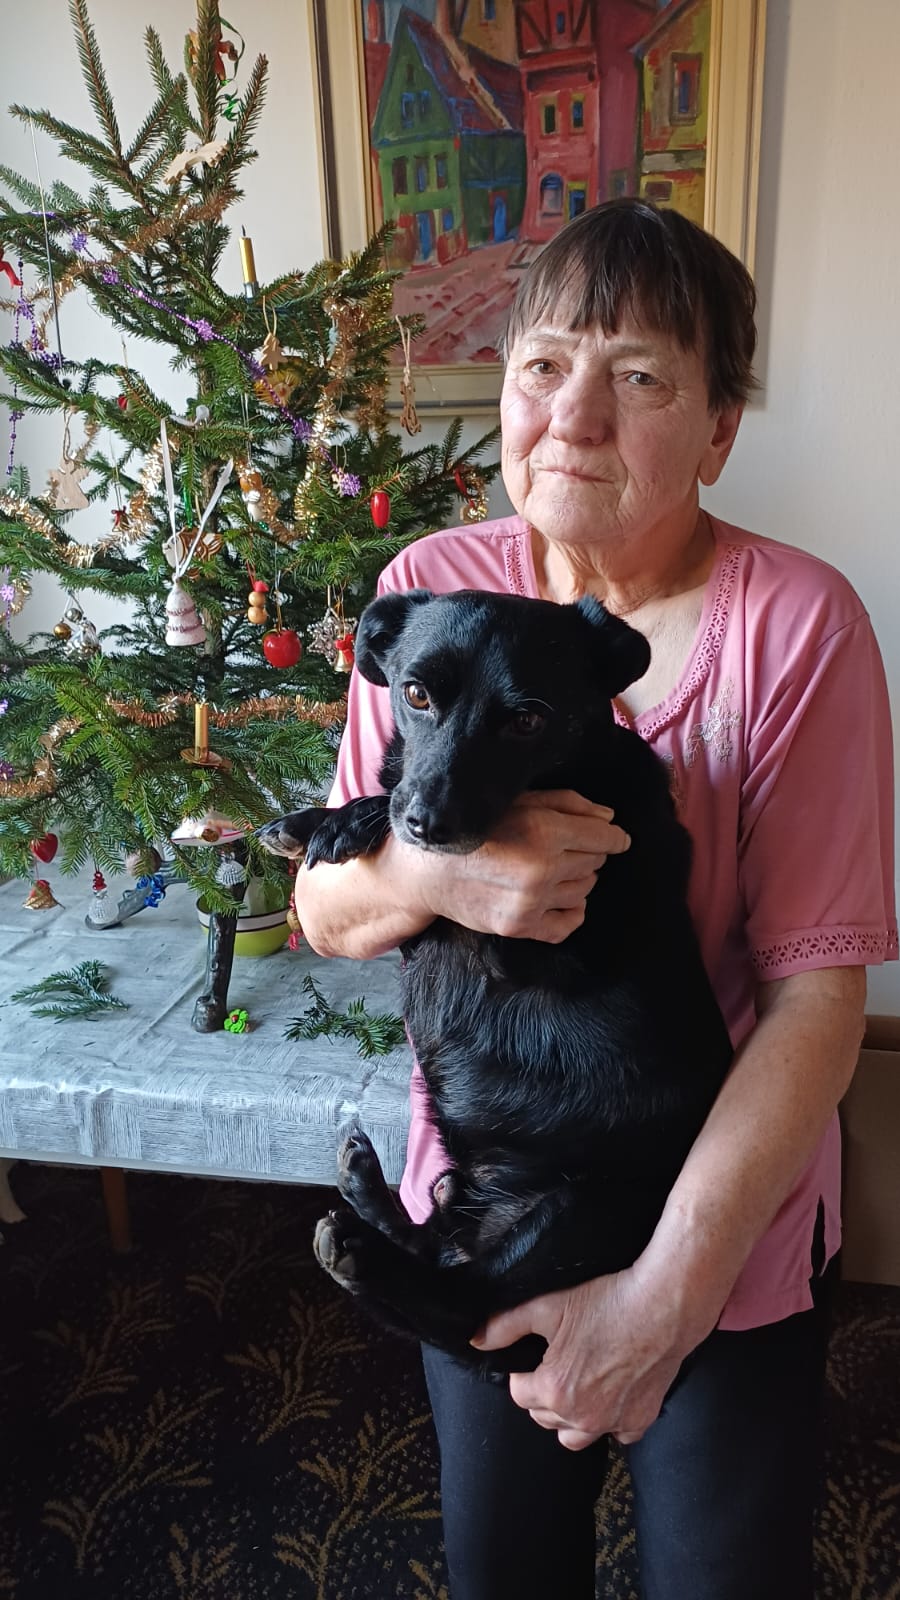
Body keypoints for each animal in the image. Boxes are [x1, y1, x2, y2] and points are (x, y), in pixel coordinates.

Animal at [258, 589, 733, 1375]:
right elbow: (392, 803)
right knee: (435, 1250)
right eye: (416, 695)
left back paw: (360, 1250)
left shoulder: (545, 938)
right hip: (464, 1191)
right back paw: (366, 1193)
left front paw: (351, 819)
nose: (429, 823)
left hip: (583, 1208)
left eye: (528, 719)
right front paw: (328, 817)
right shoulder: (418, 922)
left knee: (465, 1305)